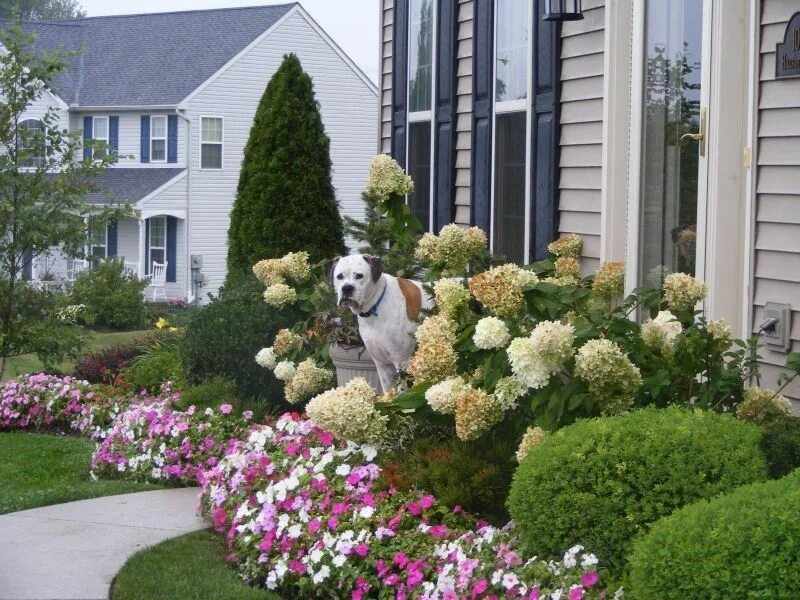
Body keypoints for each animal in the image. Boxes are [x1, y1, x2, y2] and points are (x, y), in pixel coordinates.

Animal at [324, 253, 432, 394]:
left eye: (359, 276)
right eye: (339, 276)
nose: (347, 288)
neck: (375, 307)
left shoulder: (402, 362)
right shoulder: (382, 365)